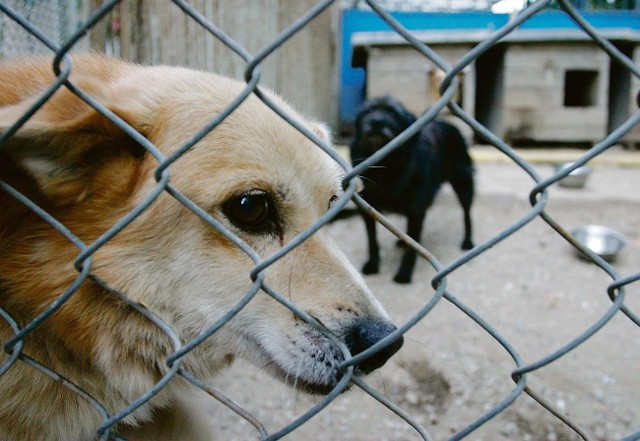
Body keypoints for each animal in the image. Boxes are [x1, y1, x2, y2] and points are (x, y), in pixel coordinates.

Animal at [350, 94, 476, 284]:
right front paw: (372, 264)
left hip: (463, 185)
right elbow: (372, 241)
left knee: (467, 214)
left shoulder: (416, 210)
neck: (385, 167)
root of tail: (446, 123)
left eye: (393, 113)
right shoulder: (368, 209)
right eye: (367, 112)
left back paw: (467, 241)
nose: (376, 122)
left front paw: (404, 273)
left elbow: (411, 249)